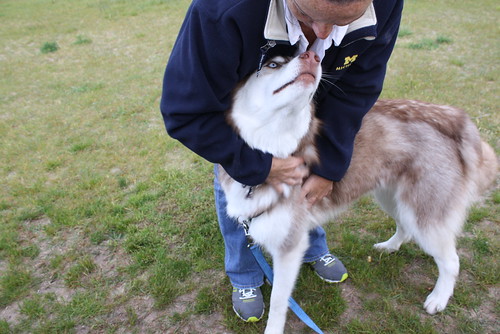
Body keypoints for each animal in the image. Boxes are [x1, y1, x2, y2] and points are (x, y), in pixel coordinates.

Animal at [217, 50, 498, 334]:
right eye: (273, 64)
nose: (312, 55)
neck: (273, 150)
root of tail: (452, 116)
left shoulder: (289, 246)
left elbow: (277, 303)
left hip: (424, 217)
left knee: (451, 261)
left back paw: (438, 299)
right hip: (393, 200)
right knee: (405, 228)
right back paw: (389, 247)